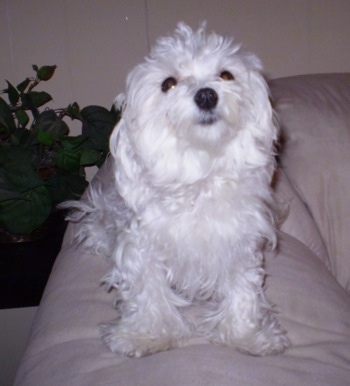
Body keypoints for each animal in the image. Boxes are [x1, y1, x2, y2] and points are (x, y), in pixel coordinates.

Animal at [65, 22, 290, 358]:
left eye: (226, 75)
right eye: (168, 83)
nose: (207, 95)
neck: (200, 171)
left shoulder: (239, 244)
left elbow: (243, 291)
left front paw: (246, 335)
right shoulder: (141, 247)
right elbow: (148, 292)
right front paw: (146, 336)